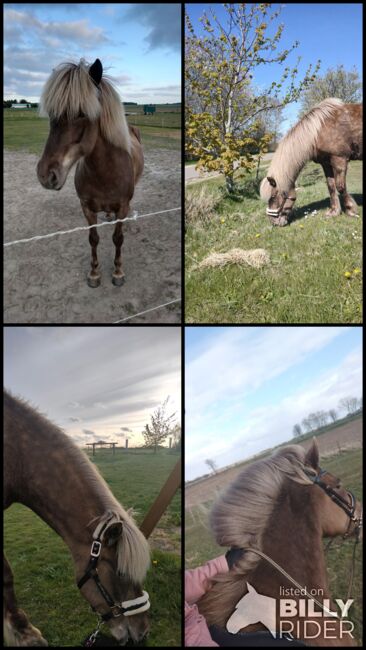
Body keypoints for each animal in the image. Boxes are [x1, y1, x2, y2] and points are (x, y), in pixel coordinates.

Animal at [36, 58, 144, 286]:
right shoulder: (86, 207)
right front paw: (94, 273)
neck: (105, 173)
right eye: (51, 114)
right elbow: (93, 239)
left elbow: (118, 238)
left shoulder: (123, 205)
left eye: (81, 114)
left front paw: (118, 272)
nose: (45, 174)